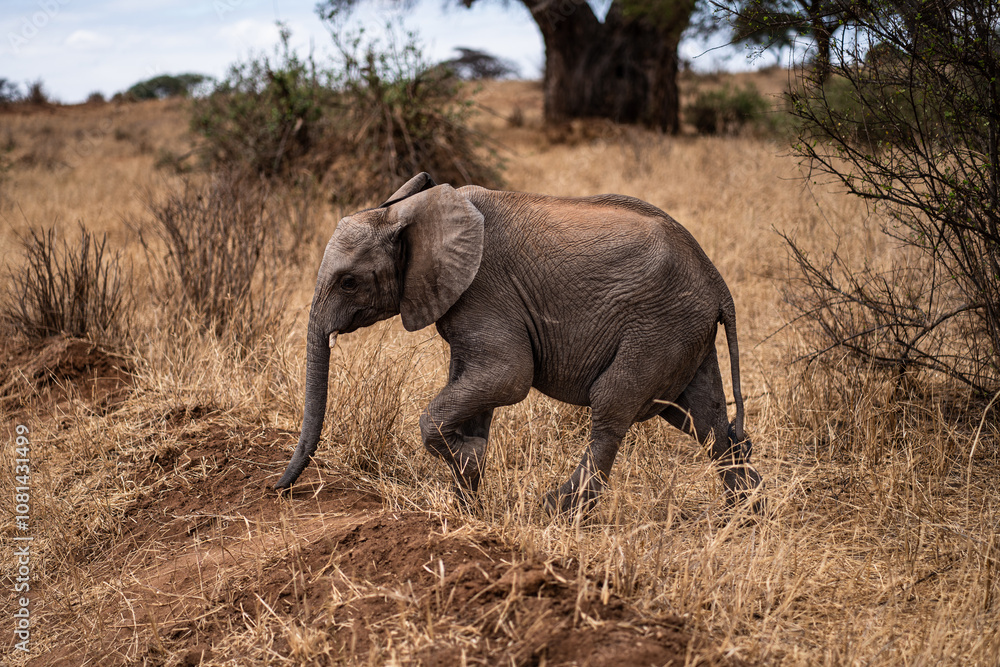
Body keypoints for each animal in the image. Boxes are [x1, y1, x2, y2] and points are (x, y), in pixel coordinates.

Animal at [275, 172, 763, 514]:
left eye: (349, 282)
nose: (276, 489)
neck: (410, 213)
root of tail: (718, 283)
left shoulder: (484, 291)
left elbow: (508, 377)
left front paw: (467, 464)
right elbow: (477, 388)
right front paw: (467, 502)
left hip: (657, 326)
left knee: (612, 407)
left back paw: (557, 510)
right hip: (684, 331)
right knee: (703, 420)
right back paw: (743, 515)